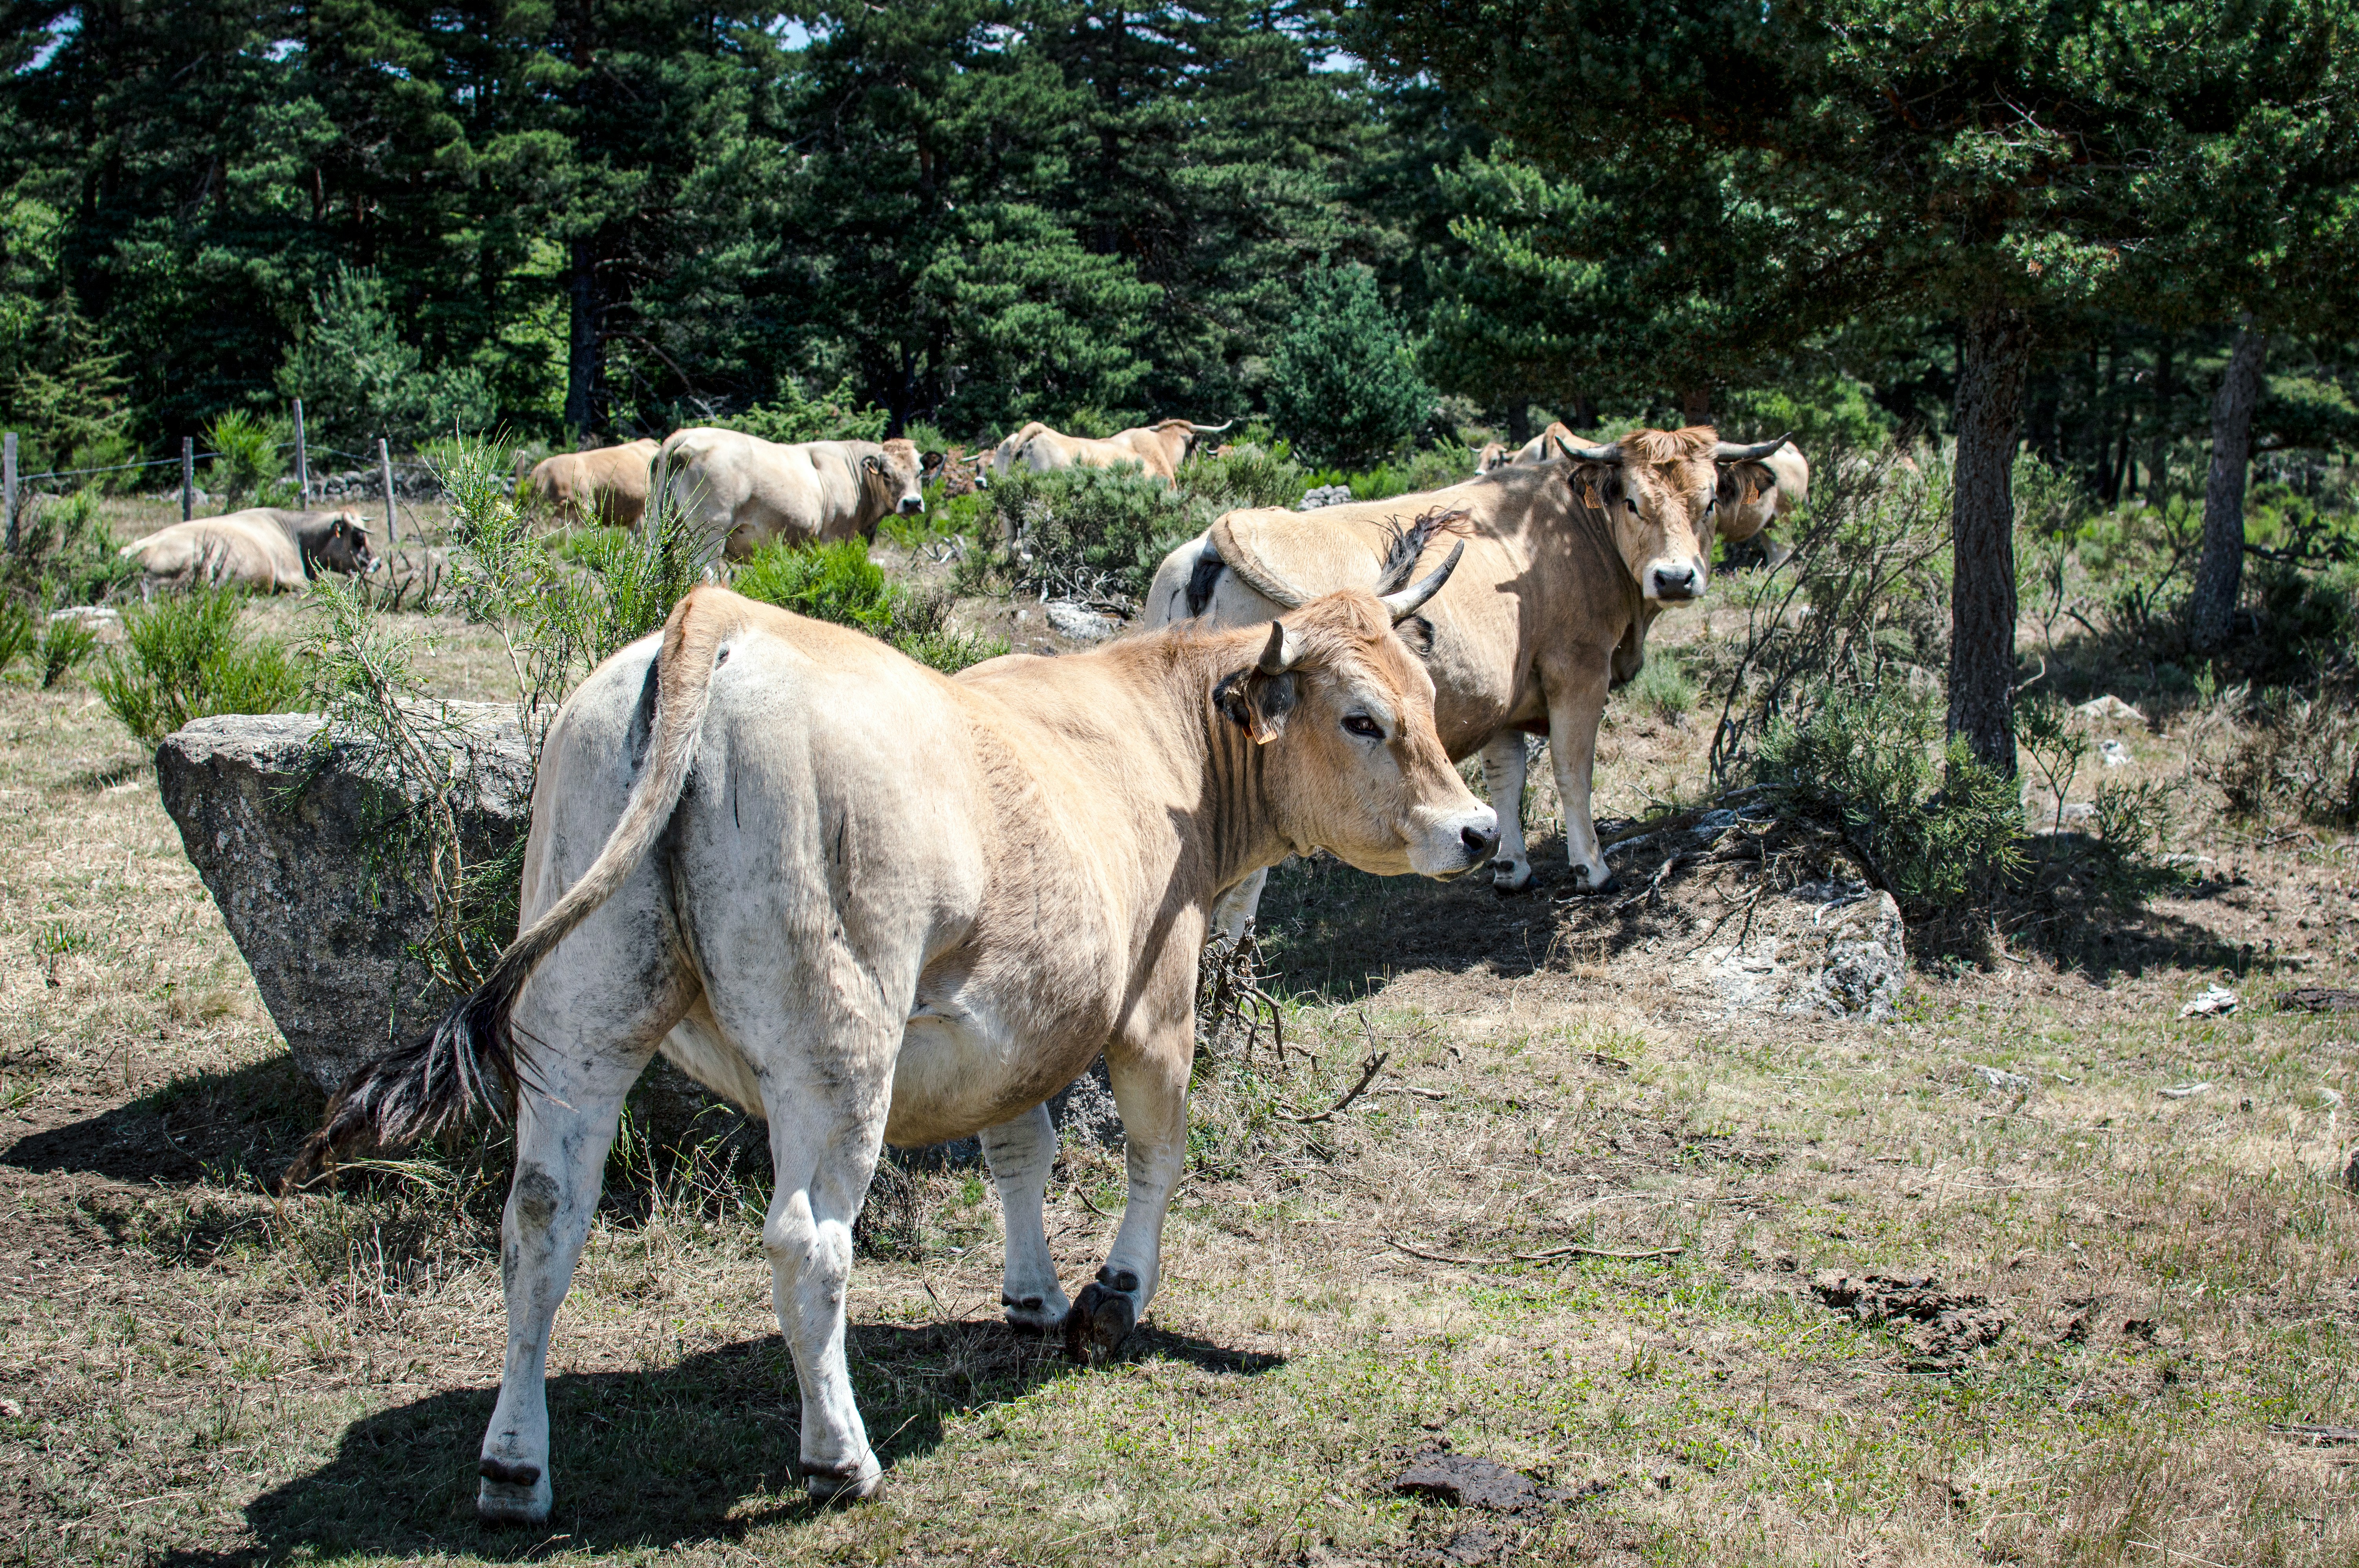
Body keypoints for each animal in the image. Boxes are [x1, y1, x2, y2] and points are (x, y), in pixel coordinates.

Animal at [280, 553, 1494, 1522]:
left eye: (1425, 696)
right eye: (1361, 718)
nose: (1479, 830)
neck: (1160, 739)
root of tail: (718, 618)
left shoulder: (1023, 1017)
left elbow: (1018, 1152)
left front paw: (1030, 1294)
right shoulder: (1152, 1004)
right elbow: (1156, 1154)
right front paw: (1110, 1298)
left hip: (579, 1022)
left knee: (541, 1219)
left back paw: (514, 1466)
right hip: (836, 1047)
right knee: (806, 1241)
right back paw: (839, 1459)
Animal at [650, 430, 934, 559]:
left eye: (920, 472)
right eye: (886, 474)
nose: (912, 503)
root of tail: (684, 436)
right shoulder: (833, 541)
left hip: (657, 529)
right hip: (711, 534)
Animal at [1145, 426, 1788, 922]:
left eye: (1709, 501)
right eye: (1632, 501)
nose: (1675, 577)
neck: (1573, 530)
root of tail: (1215, 539)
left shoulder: (1501, 696)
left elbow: (1507, 778)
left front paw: (1511, 867)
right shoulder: (1578, 669)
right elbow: (1572, 770)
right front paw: (1593, 868)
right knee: (1240, 897)